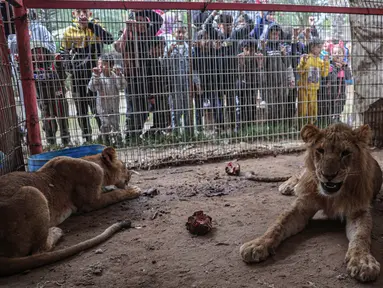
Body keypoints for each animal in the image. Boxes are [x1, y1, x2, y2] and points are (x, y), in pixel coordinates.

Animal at [0, 147, 141, 276]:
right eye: (124, 166)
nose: (131, 173)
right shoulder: (90, 202)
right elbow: (115, 194)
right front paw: (133, 190)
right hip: (32, 191)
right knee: (39, 250)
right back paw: (56, 231)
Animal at [242, 122, 382, 282]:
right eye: (320, 150)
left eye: (345, 153)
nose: (328, 175)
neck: (332, 196)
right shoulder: (302, 205)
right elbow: (278, 224)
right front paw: (257, 244)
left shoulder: (358, 211)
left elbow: (361, 236)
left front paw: (363, 262)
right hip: (306, 173)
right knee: (299, 173)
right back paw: (288, 185)